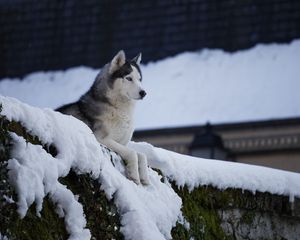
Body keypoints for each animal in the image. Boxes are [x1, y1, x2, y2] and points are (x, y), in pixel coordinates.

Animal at [56, 50, 150, 185]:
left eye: (140, 79)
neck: (118, 108)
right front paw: (134, 176)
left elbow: (142, 155)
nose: (143, 93)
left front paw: (144, 178)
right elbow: (132, 153)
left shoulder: (122, 143)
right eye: (128, 78)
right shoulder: (101, 139)